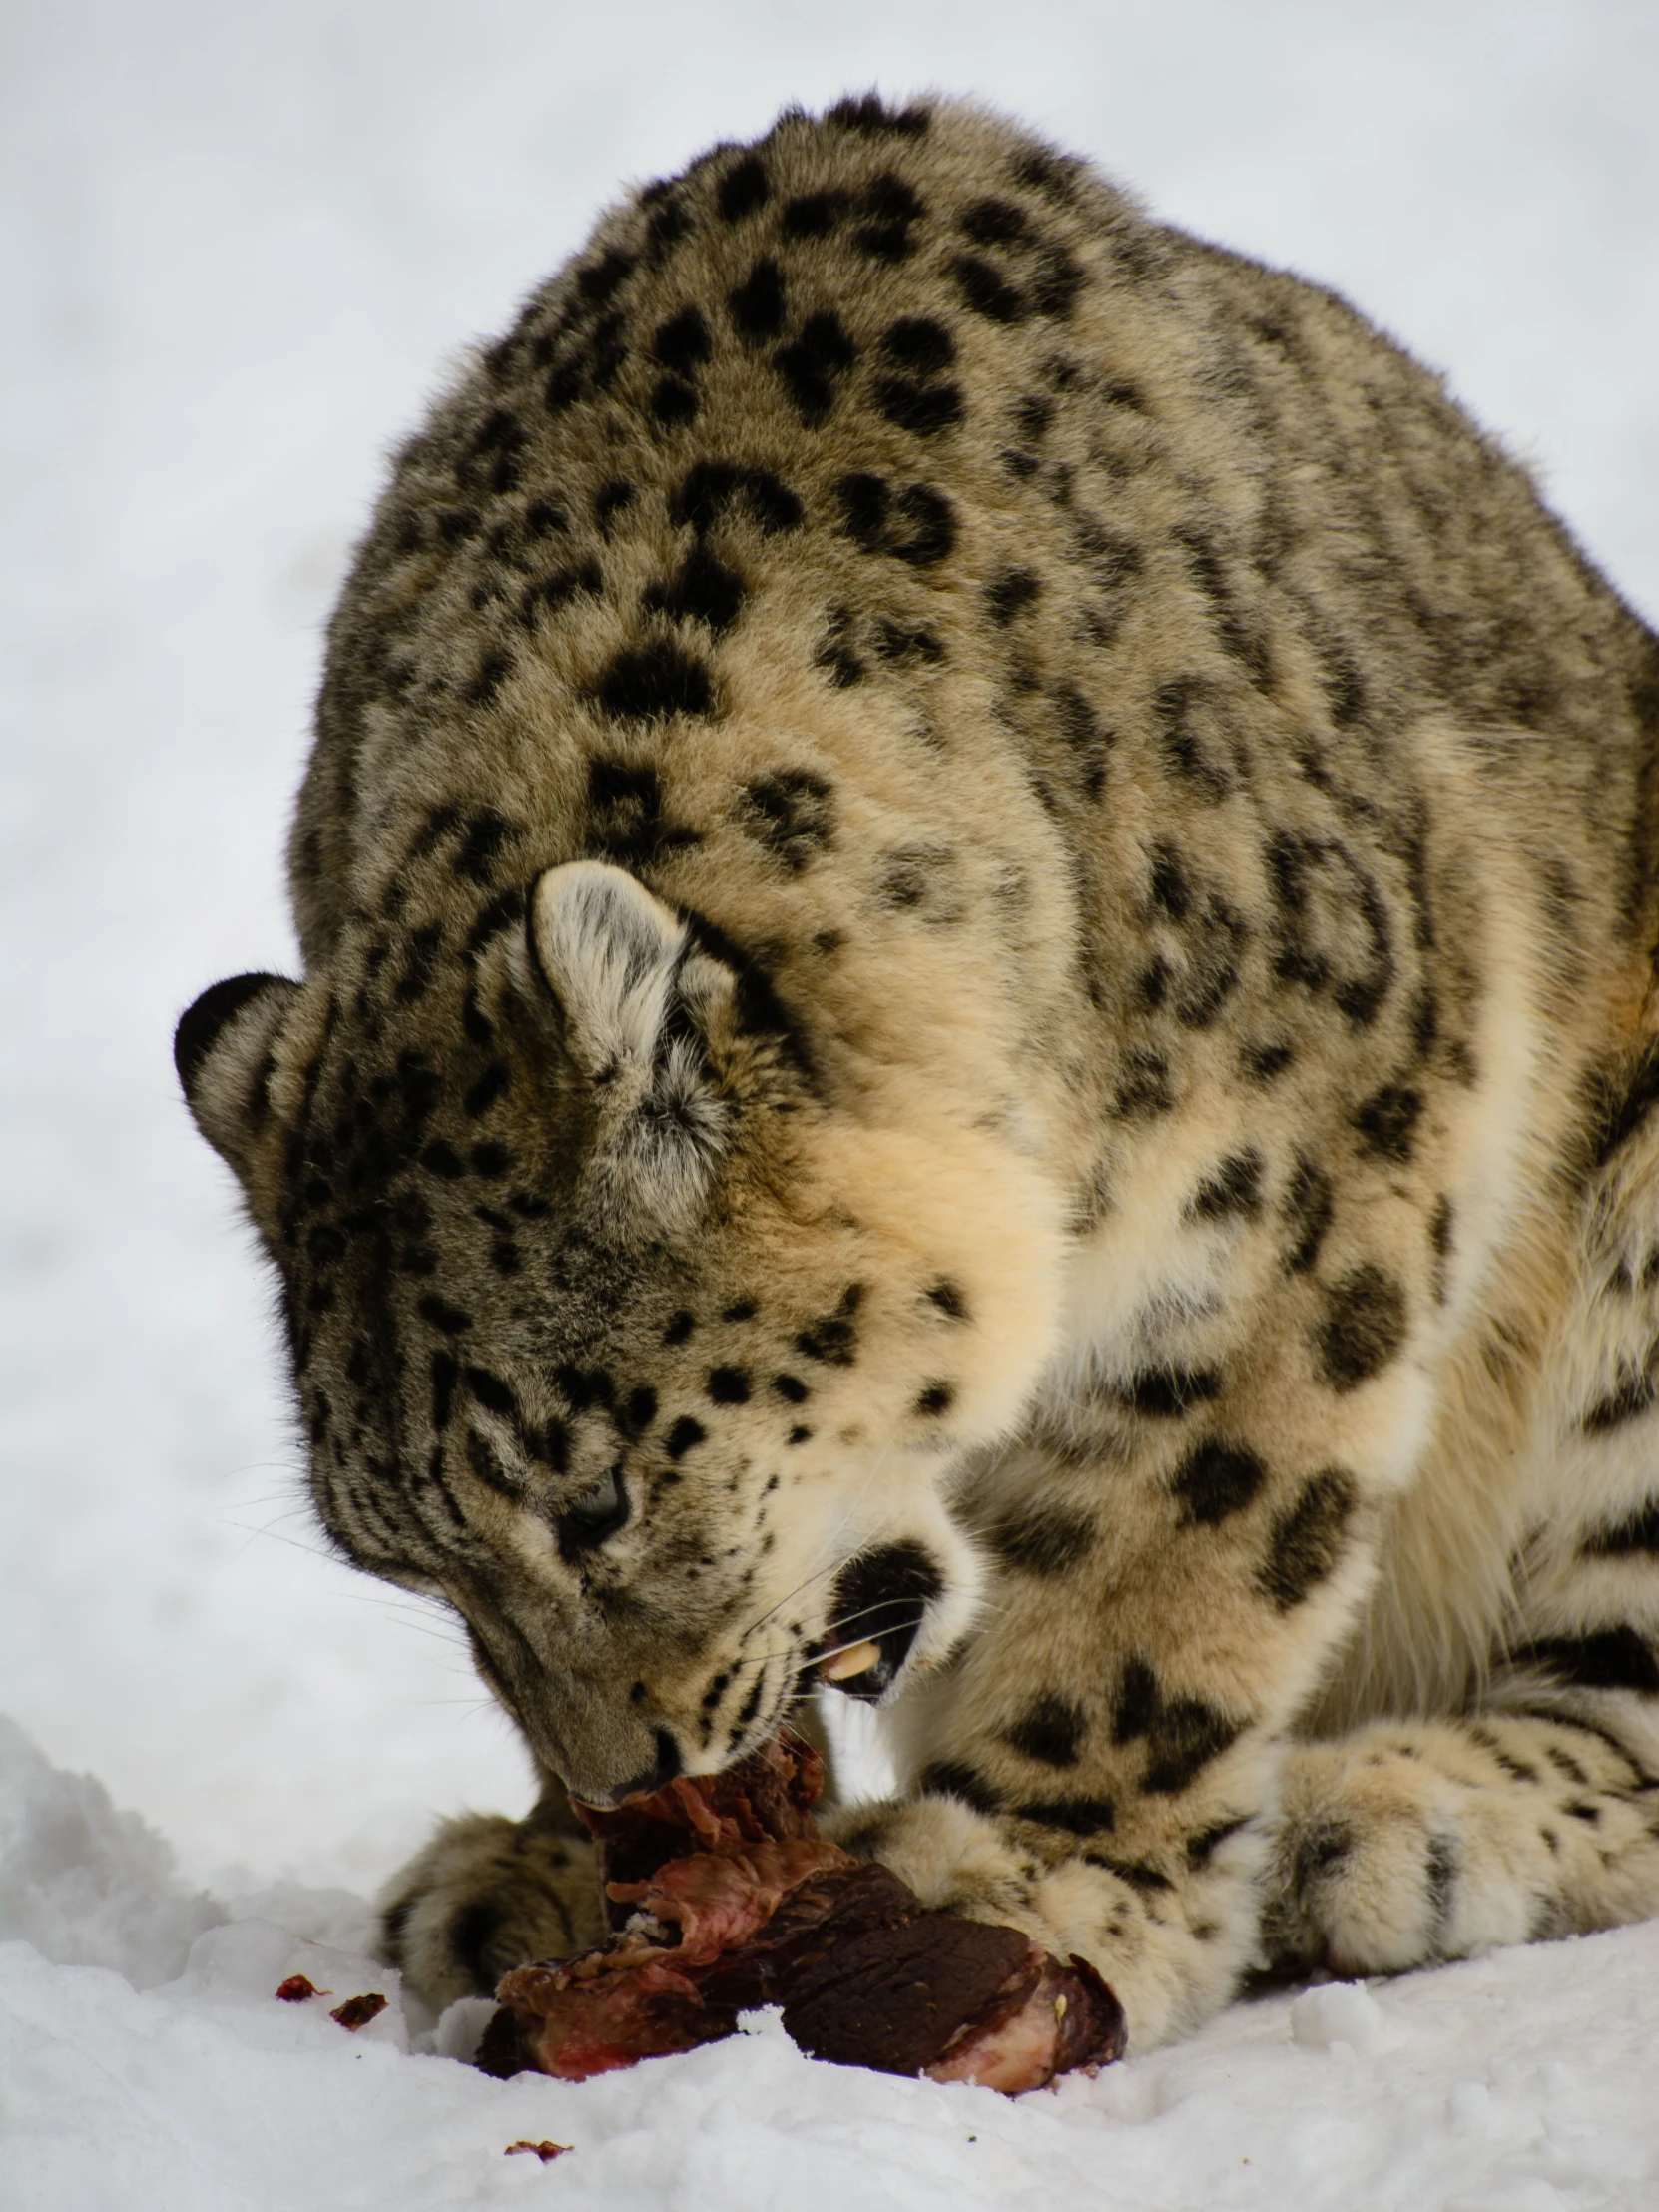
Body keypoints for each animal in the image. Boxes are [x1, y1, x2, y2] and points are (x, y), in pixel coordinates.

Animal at [179, 95, 1659, 2043]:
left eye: (593, 1494)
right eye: (411, 1560)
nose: (624, 1774)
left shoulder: (1298, 1211)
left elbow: (1162, 1571)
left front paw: (1040, 1876)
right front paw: (560, 1879)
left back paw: (1388, 1812)